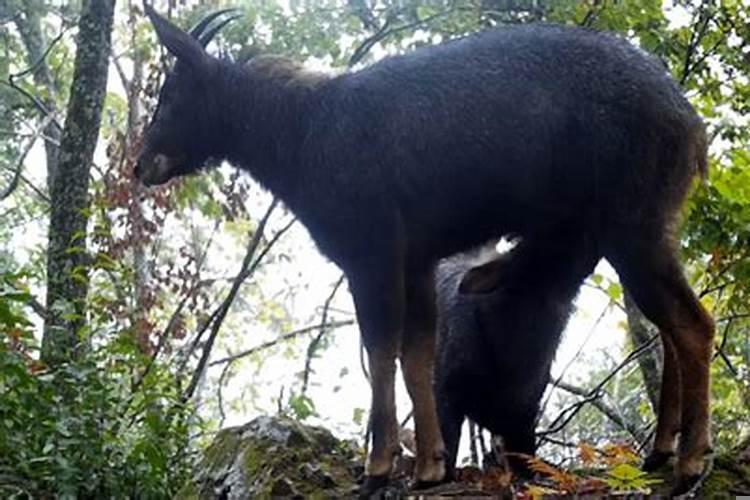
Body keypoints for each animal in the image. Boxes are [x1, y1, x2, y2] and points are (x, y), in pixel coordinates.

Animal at [137, 7, 716, 496]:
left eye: (171, 95)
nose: (142, 164)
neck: (299, 134)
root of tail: (690, 123)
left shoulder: (370, 253)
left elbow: (381, 349)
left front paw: (379, 467)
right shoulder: (417, 260)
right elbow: (417, 352)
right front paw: (431, 466)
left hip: (632, 228)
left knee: (692, 324)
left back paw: (689, 463)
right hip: (647, 232)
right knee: (668, 328)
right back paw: (660, 452)